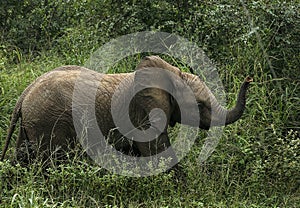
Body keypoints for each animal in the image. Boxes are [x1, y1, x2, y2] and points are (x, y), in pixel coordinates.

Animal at [0, 55, 253, 172]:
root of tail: (25, 93)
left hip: (31, 123)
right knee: (52, 162)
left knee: (24, 157)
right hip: (48, 121)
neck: (170, 75)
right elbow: (155, 149)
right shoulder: (144, 114)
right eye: (200, 106)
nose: (249, 79)